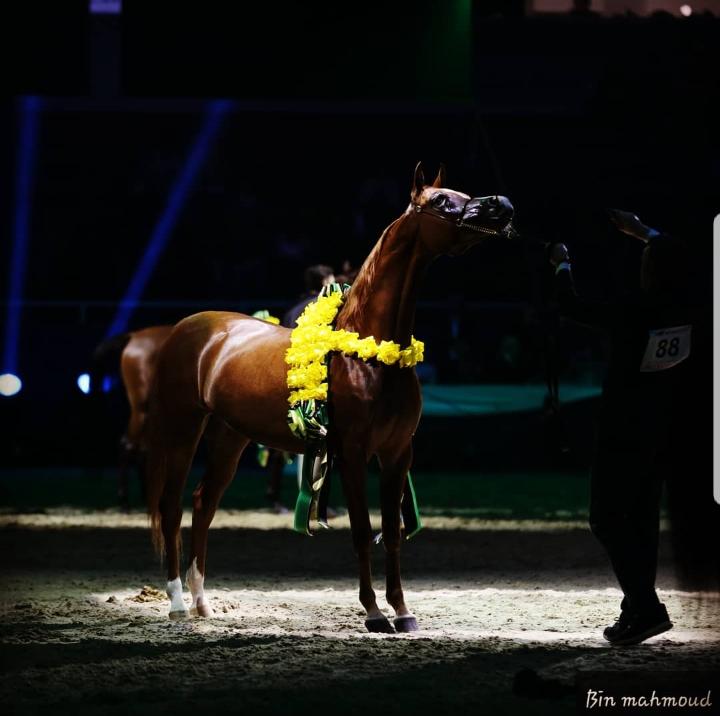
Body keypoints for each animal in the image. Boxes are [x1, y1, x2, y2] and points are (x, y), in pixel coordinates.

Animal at [145, 166, 512, 632]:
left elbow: (392, 531)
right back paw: (177, 603)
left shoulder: (397, 453)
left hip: (230, 436)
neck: (369, 352)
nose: (502, 205)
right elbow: (361, 530)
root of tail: (186, 327)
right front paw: (374, 613)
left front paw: (403, 612)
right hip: (182, 427)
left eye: (462, 192)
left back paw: (202, 603)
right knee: (171, 506)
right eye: (440, 201)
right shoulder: (352, 452)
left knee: (202, 504)